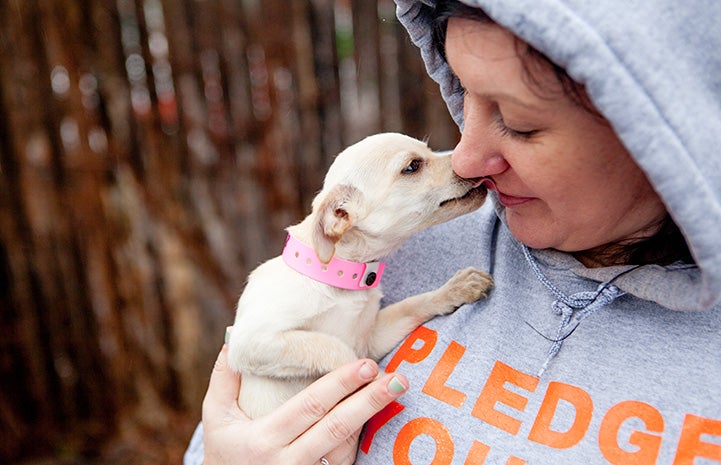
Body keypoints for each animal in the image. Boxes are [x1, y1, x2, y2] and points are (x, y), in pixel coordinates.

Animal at [228, 132, 492, 418]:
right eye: (412, 166)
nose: (467, 164)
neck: (338, 276)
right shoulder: (253, 341)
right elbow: (335, 348)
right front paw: (376, 378)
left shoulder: (371, 338)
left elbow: (412, 304)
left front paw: (456, 288)